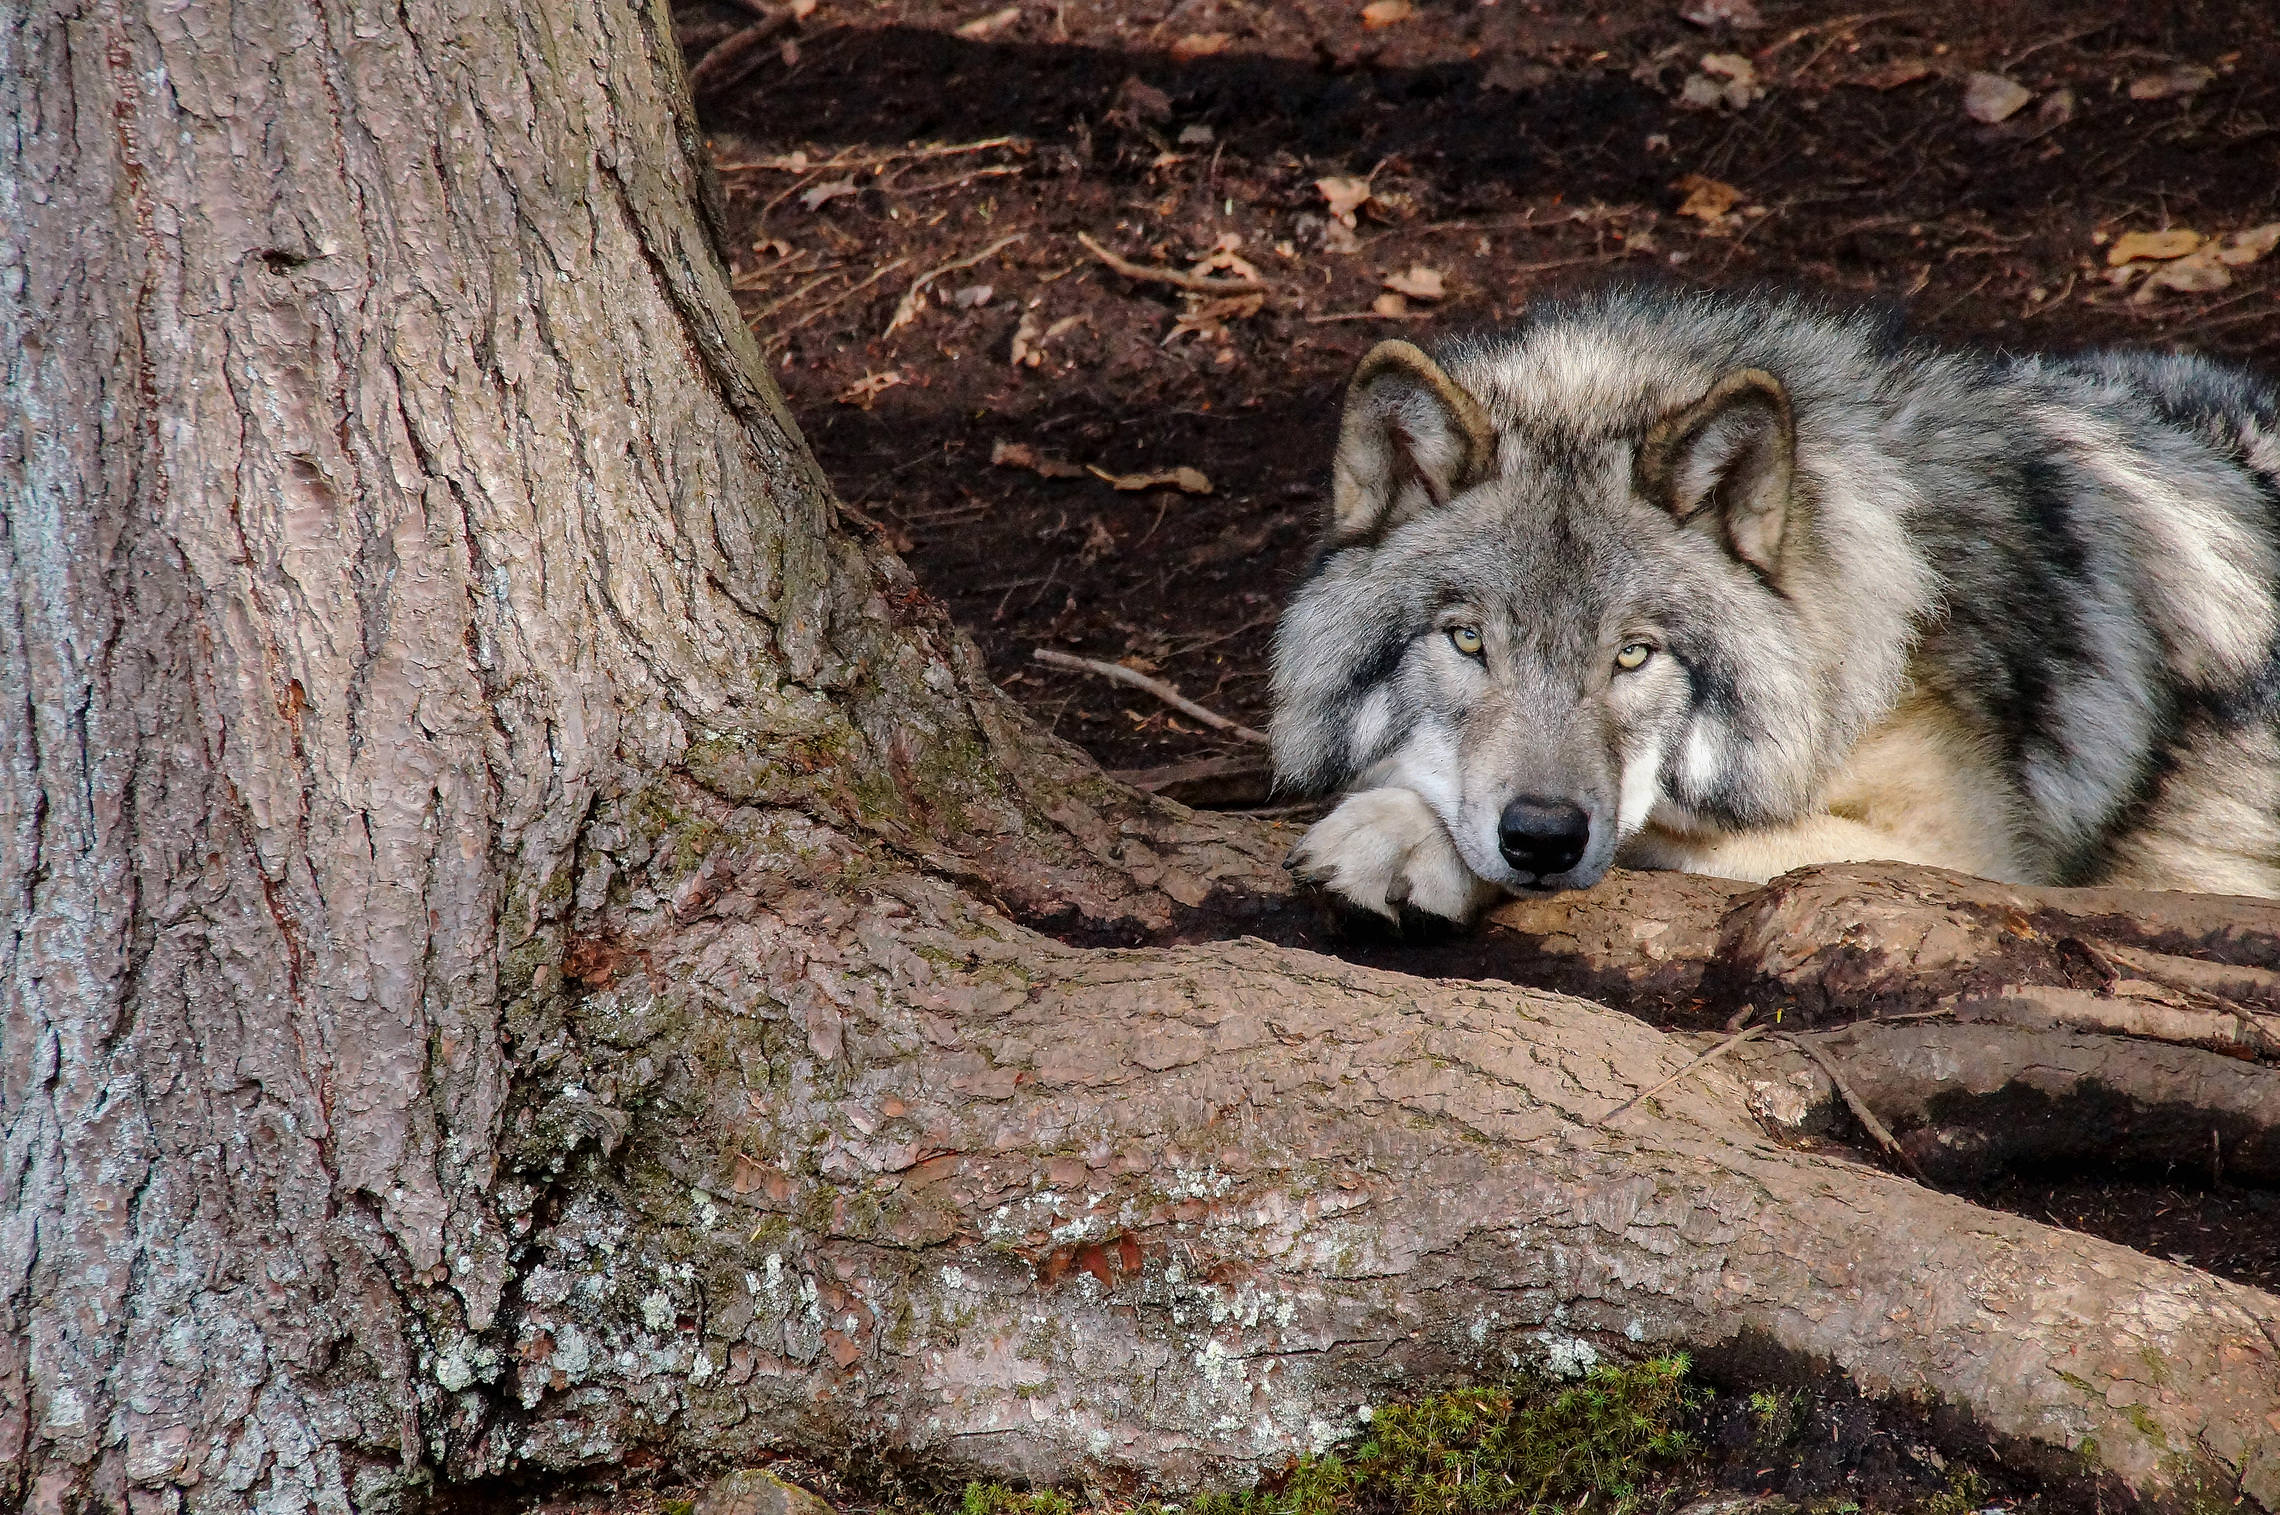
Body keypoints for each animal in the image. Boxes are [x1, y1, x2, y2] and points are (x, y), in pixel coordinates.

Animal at [1276, 287, 2280, 921]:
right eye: (1467, 640)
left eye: (1633, 653)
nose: (1542, 837)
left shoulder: (1973, 865)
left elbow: (1666, 827)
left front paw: (1397, 835)